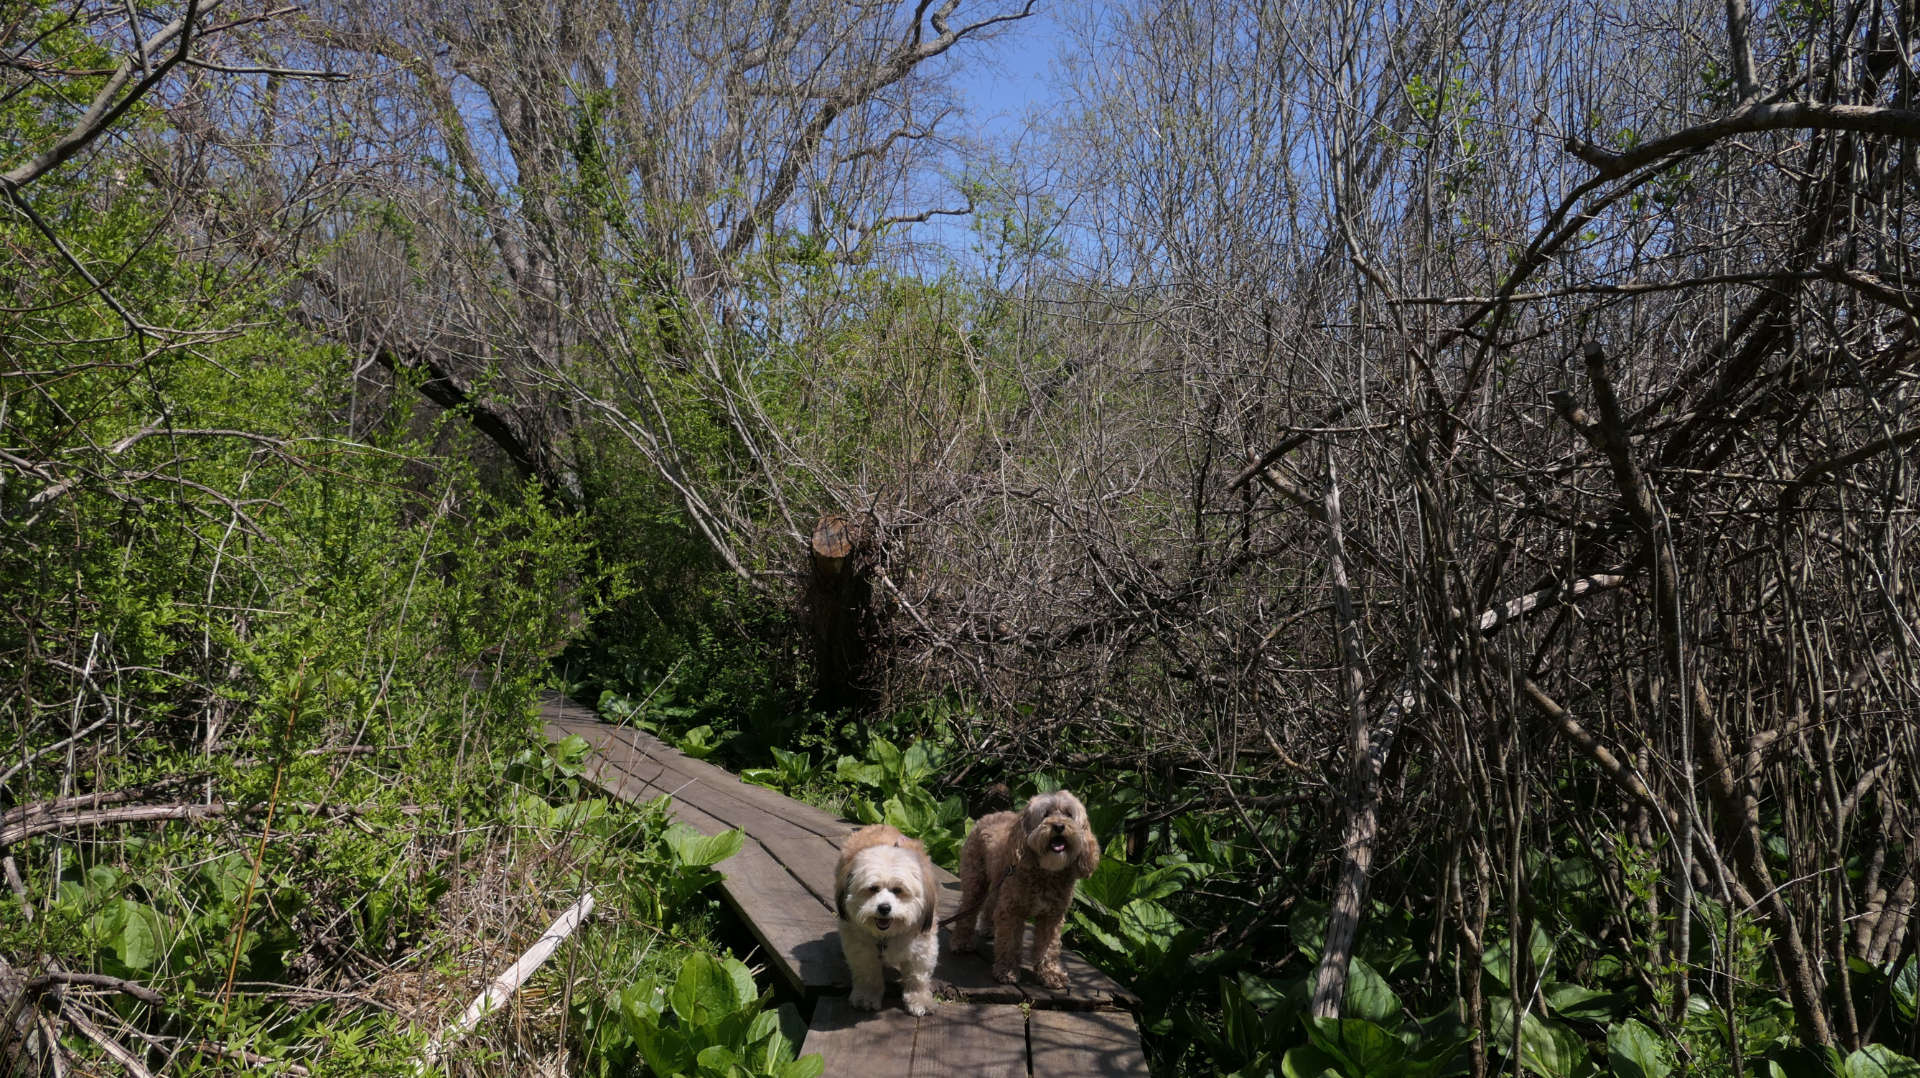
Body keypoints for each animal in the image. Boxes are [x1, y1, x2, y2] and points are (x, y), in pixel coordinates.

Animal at [833, 822, 936, 1014]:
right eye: (873, 888)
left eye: (898, 890)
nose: (884, 908)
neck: (886, 936)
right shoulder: (862, 949)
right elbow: (868, 974)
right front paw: (867, 996)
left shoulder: (921, 947)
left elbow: (917, 976)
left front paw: (920, 999)